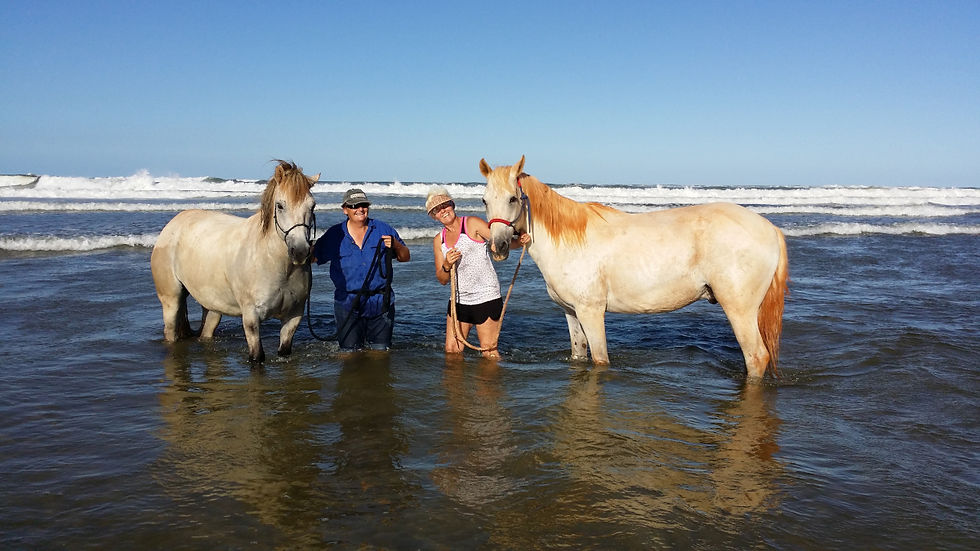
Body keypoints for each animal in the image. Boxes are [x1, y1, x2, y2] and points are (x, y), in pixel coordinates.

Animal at [151, 160, 320, 362]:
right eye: (280, 206)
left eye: (312, 206)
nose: (300, 251)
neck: (274, 262)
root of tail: (172, 224)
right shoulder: (251, 316)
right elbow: (257, 357)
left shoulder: (293, 316)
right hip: (171, 300)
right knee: (171, 331)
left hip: (212, 305)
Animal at [480, 156, 789, 380]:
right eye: (484, 200)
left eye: (513, 198)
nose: (499, 247)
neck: (571, 241)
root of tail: (770, 228)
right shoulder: (571, 312)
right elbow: (579, 355)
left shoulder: (592, 312)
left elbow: (600, 359)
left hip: (739, 310)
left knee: (756, 357)